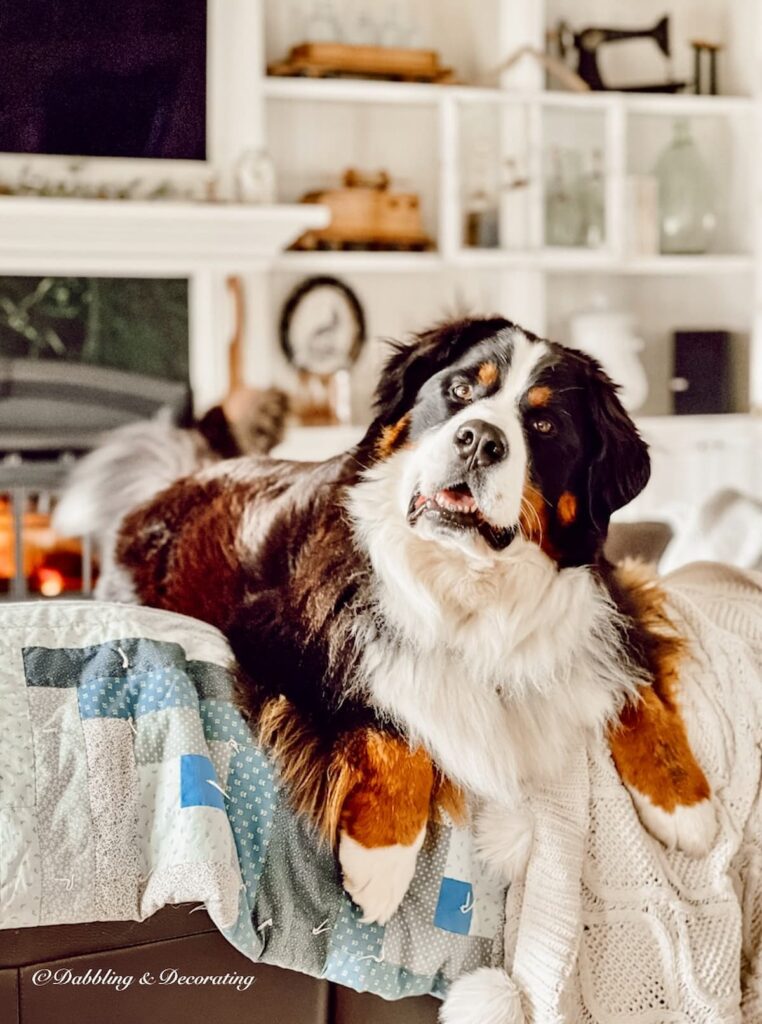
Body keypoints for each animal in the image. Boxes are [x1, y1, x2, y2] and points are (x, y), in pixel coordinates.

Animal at [56, 317, 716, 929]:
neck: (468, 580)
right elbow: (392, 720)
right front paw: (381, 858)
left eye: (546, 425)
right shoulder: (287, 640)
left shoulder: (608, 608)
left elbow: (637, 691)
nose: (479, 440)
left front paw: (685, 803)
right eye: (459, 389)